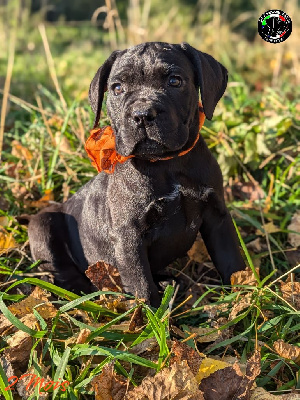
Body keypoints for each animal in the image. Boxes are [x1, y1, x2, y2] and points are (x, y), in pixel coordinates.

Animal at [27, 42, 244, 304]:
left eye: (174, 81)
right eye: (117, 88)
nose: (142, 115)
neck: (166, 164)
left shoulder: (217, 215)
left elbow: (230, 260)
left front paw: (246, 295)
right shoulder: (128, 235)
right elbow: (142, 285)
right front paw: (148, 314)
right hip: (41, 224)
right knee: (61, 271)